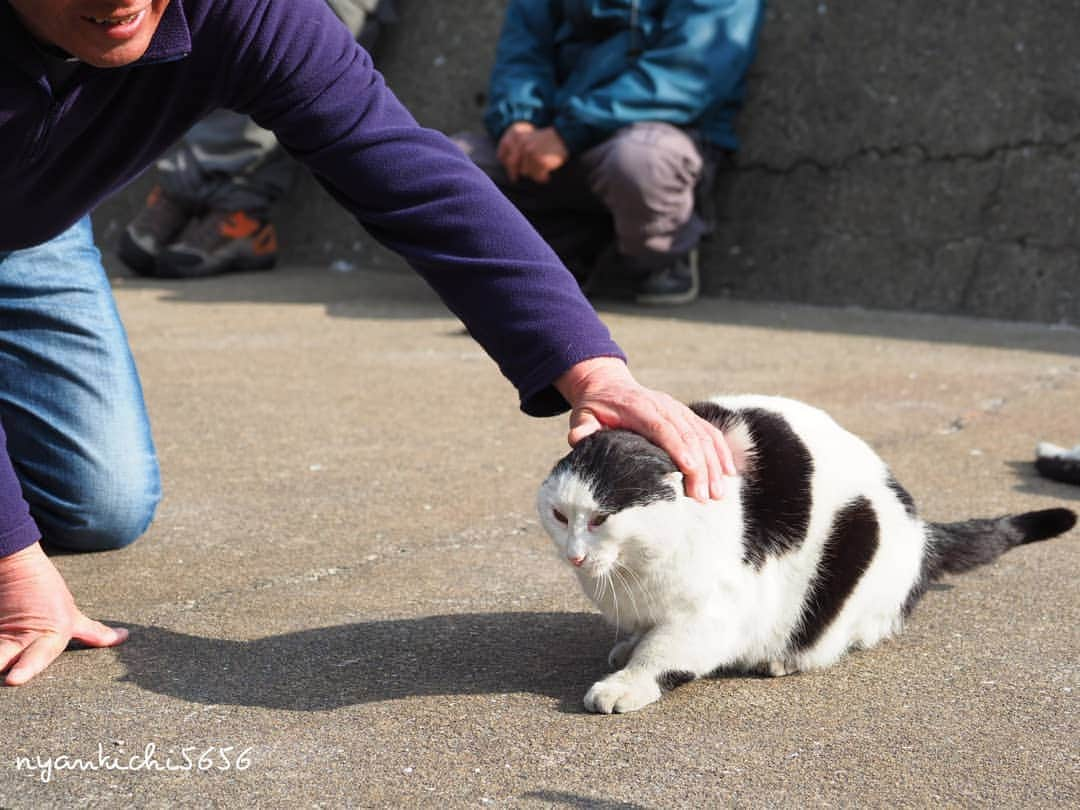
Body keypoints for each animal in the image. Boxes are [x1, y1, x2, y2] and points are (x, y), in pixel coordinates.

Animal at [535, 397, 1075, 712]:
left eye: (600, 519)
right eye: (560, 515)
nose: (575, 556)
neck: (635, 571)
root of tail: (922, 532)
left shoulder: (714, 611)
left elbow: (664, 653)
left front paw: (626, 683)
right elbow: (642, 636)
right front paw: (628, 647)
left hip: (859, 549)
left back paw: (783, 659)